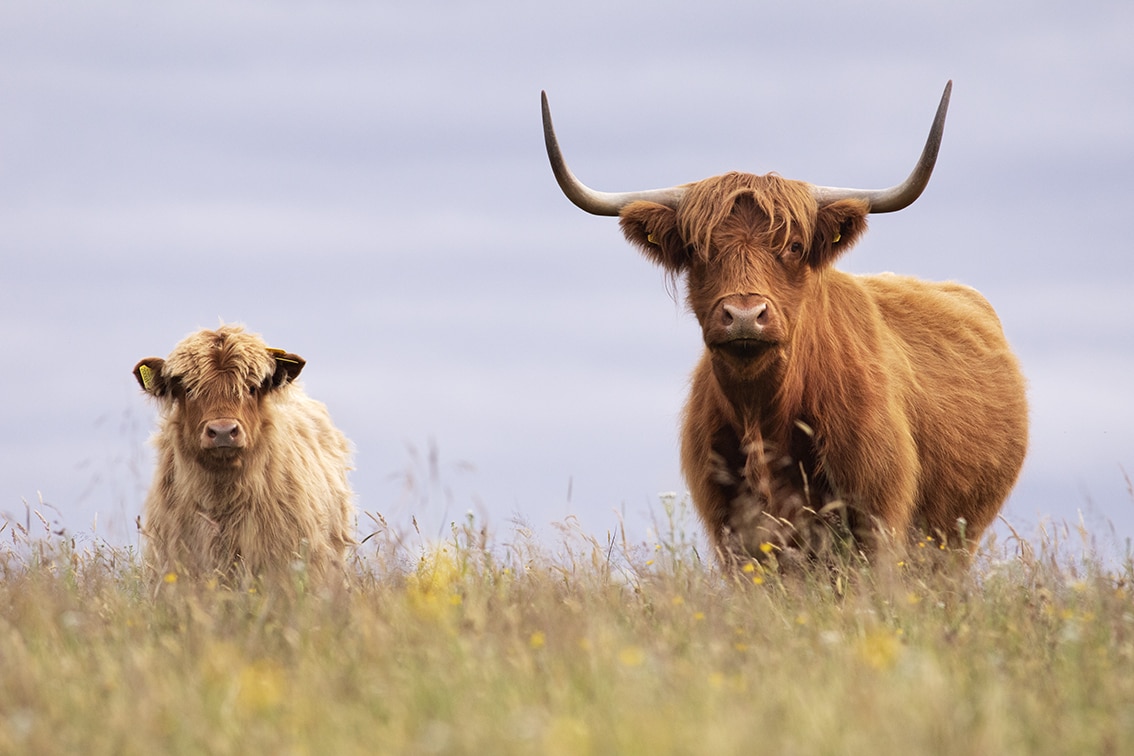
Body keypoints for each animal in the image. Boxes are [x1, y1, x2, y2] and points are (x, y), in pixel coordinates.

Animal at [544, 84, 1034, 566]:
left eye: (795, 246)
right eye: (698, 250)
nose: (744, 315)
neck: (764, 418)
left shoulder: (876, 522)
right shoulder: (732, 535)